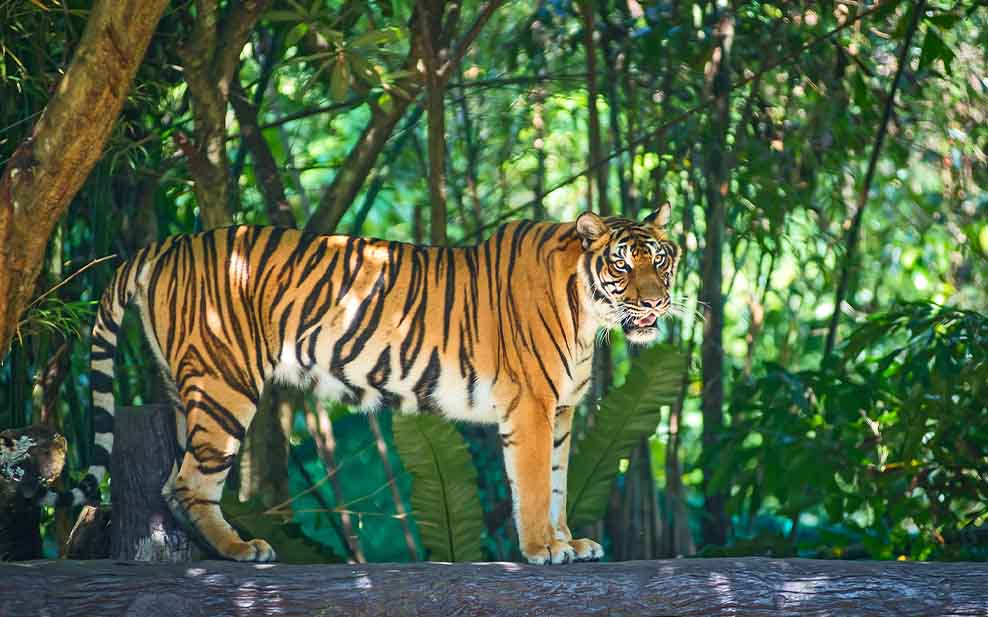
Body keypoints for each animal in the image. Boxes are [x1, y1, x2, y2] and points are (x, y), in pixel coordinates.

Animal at [71, 206, 680, 564]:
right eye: (622, 266)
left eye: (661, 261)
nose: (656, 303)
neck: (588, 317)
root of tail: (168, 244)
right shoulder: (532, 407)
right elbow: (532, 487)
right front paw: (541, 550)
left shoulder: (561, 414)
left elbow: (556, 485)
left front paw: (568, 542)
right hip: (225, 386)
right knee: (187, 482)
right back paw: (241, 550)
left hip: (186, 389)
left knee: (175, 481)